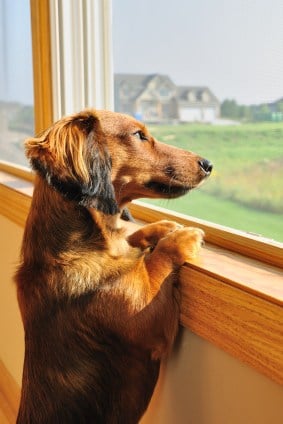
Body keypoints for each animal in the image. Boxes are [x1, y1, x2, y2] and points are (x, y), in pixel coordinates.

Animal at [14, 110, 212, 424]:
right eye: (139, 135)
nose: (208, 164)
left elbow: (132, 239)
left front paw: (162, 227)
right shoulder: (148, 315)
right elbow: (156, 261)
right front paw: (180, 237)